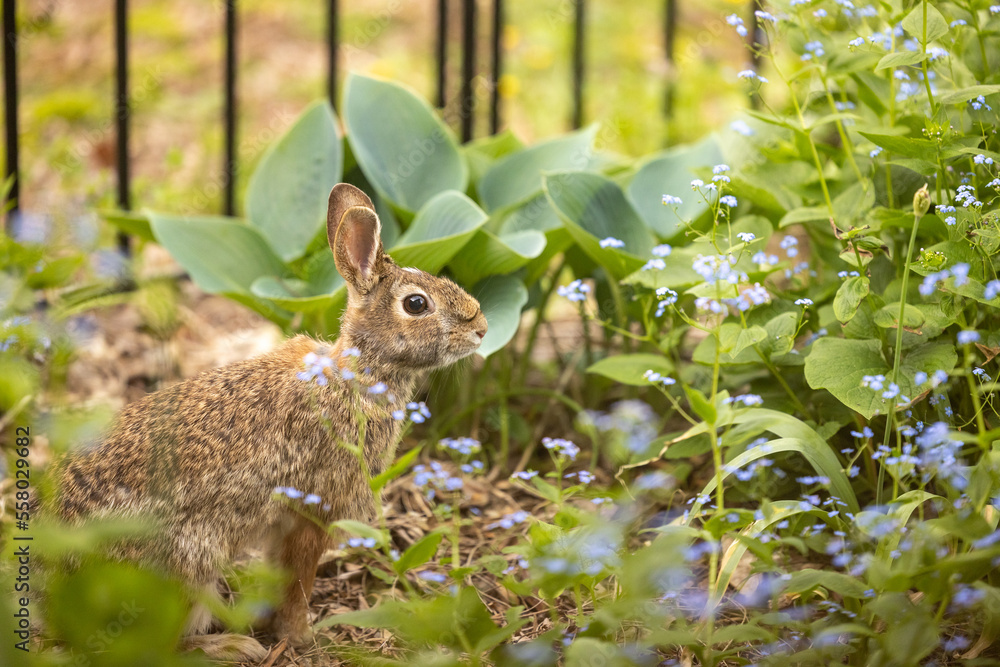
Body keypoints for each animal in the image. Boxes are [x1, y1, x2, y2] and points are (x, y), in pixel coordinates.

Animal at [52, 183, 489, 661]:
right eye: (416, 304)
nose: (482, 326)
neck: (355, 374)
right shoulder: (313, 509)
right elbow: (299, 582)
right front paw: (301, 637)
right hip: (188, 562)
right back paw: (231, 646)